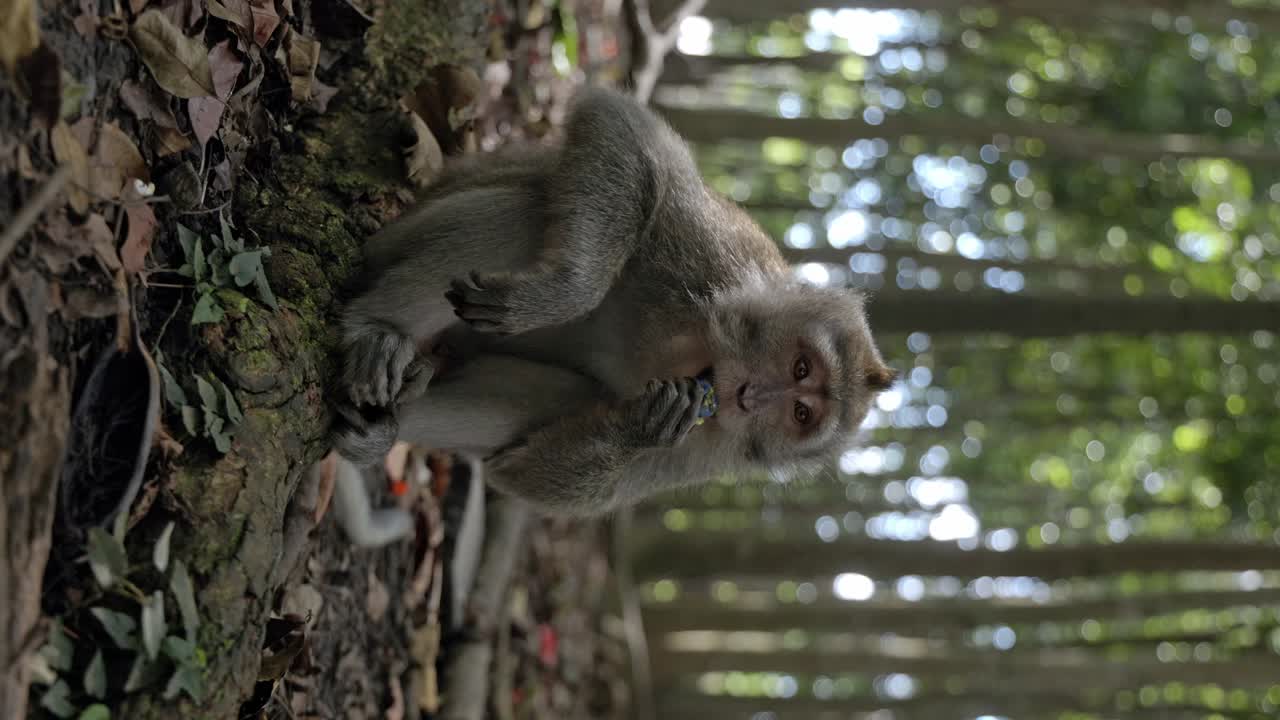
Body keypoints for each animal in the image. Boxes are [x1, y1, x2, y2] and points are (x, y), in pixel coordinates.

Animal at [332, 85, 897, 521]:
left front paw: (639, 432)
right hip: (398, 238)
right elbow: (621, 128)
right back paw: (375, 331)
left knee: (546, 400)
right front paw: (557, 295)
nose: (753, 396)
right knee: (526, 212)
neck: (703, 355)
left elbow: (520, 473)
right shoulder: (714, 260)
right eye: (801, 368)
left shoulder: (710, 448)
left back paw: (387, 425)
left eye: (800, 412)